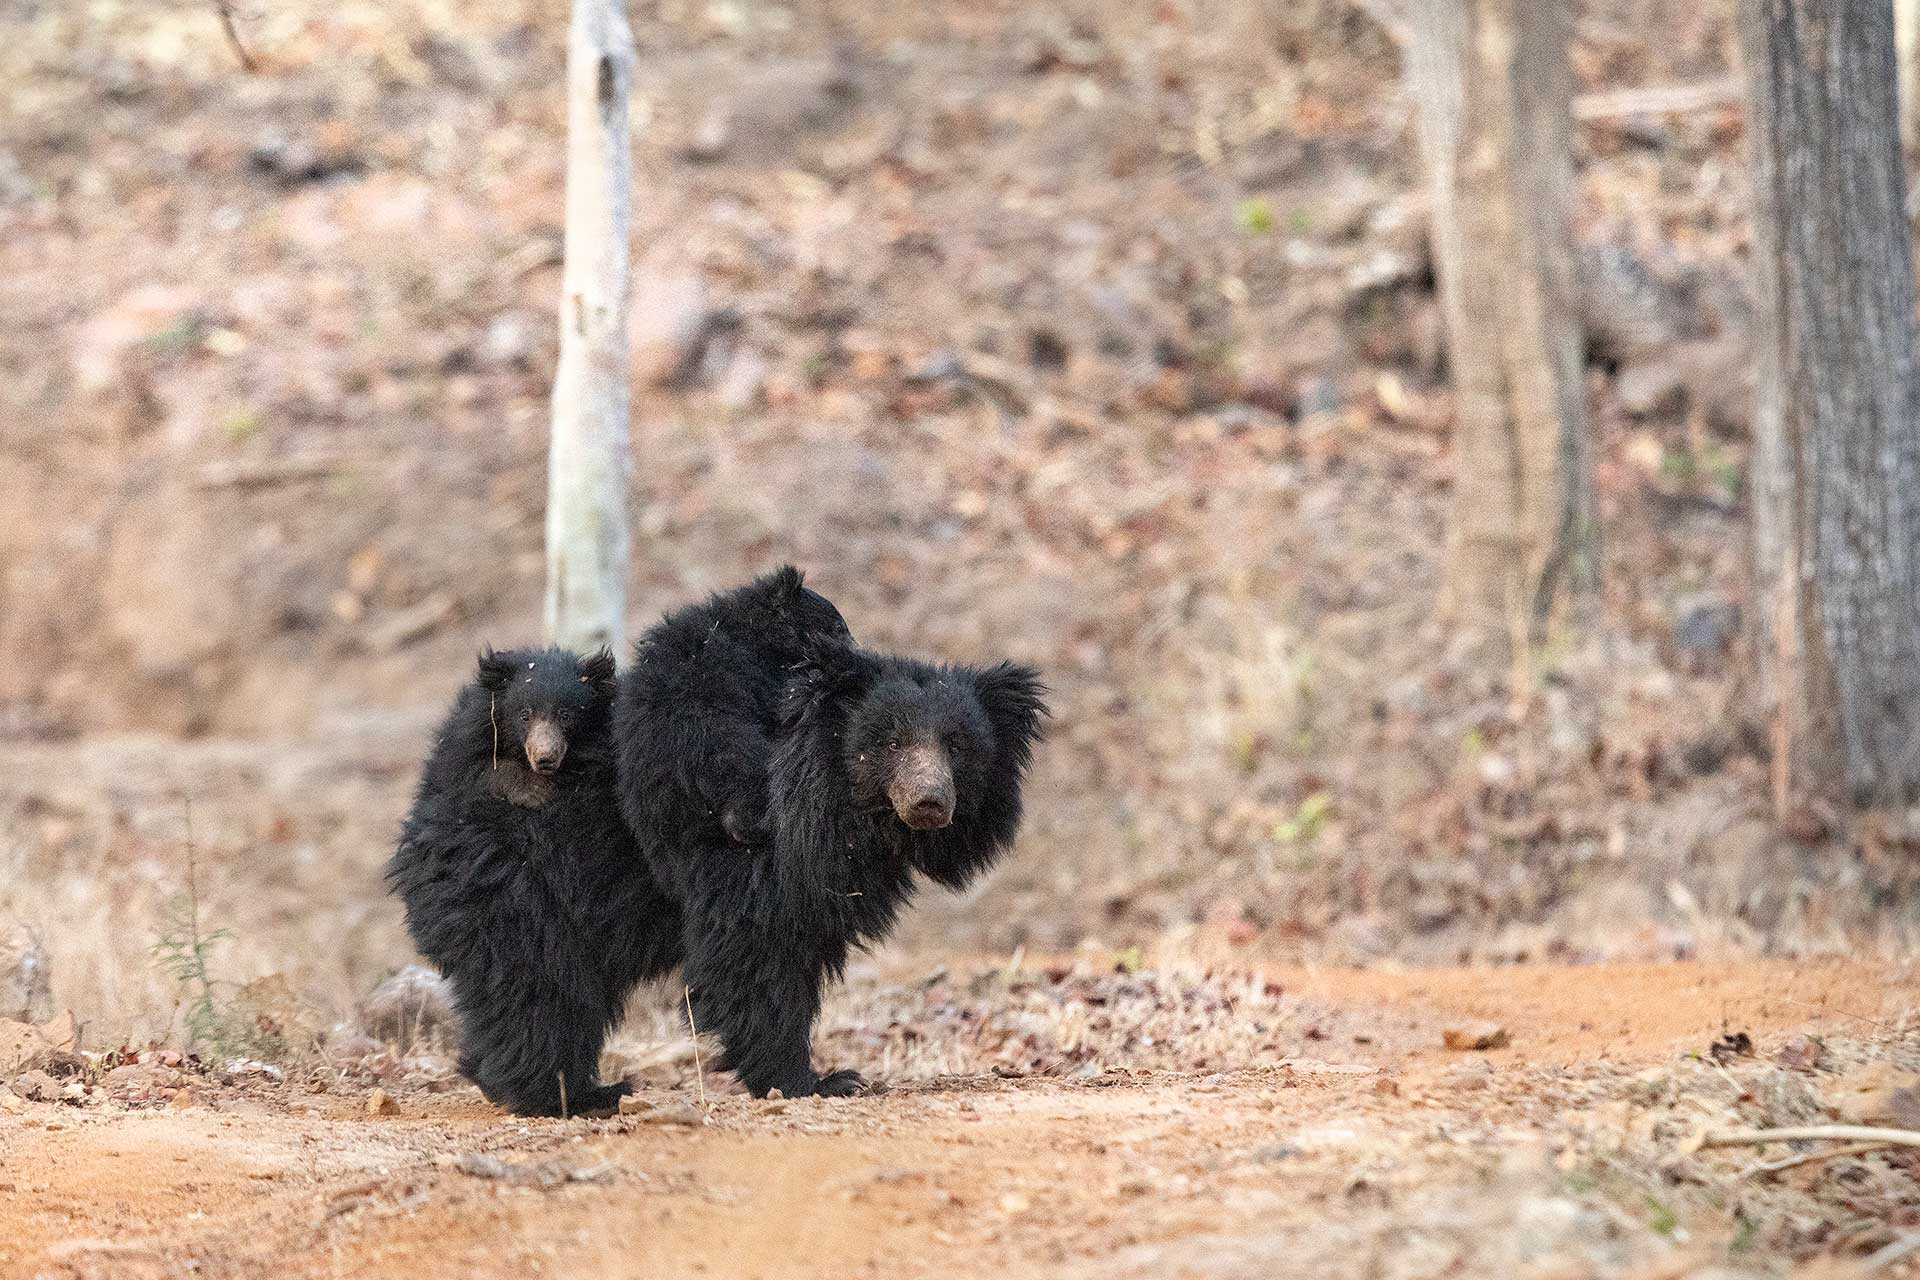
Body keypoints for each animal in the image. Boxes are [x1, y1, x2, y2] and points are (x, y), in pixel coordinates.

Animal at [386, 646, 682, 1117]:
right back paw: (561, 1094)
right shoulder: (473, 758)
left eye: (567, 713)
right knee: (538, 995)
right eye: (524, 714)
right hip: (517, 910)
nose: (545, 758)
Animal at [615, 586, 1047, 1099]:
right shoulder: (751, 860)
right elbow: (754, 952)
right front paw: (816, 1081)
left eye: (958, 746)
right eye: (892, 744)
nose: (930, 801)